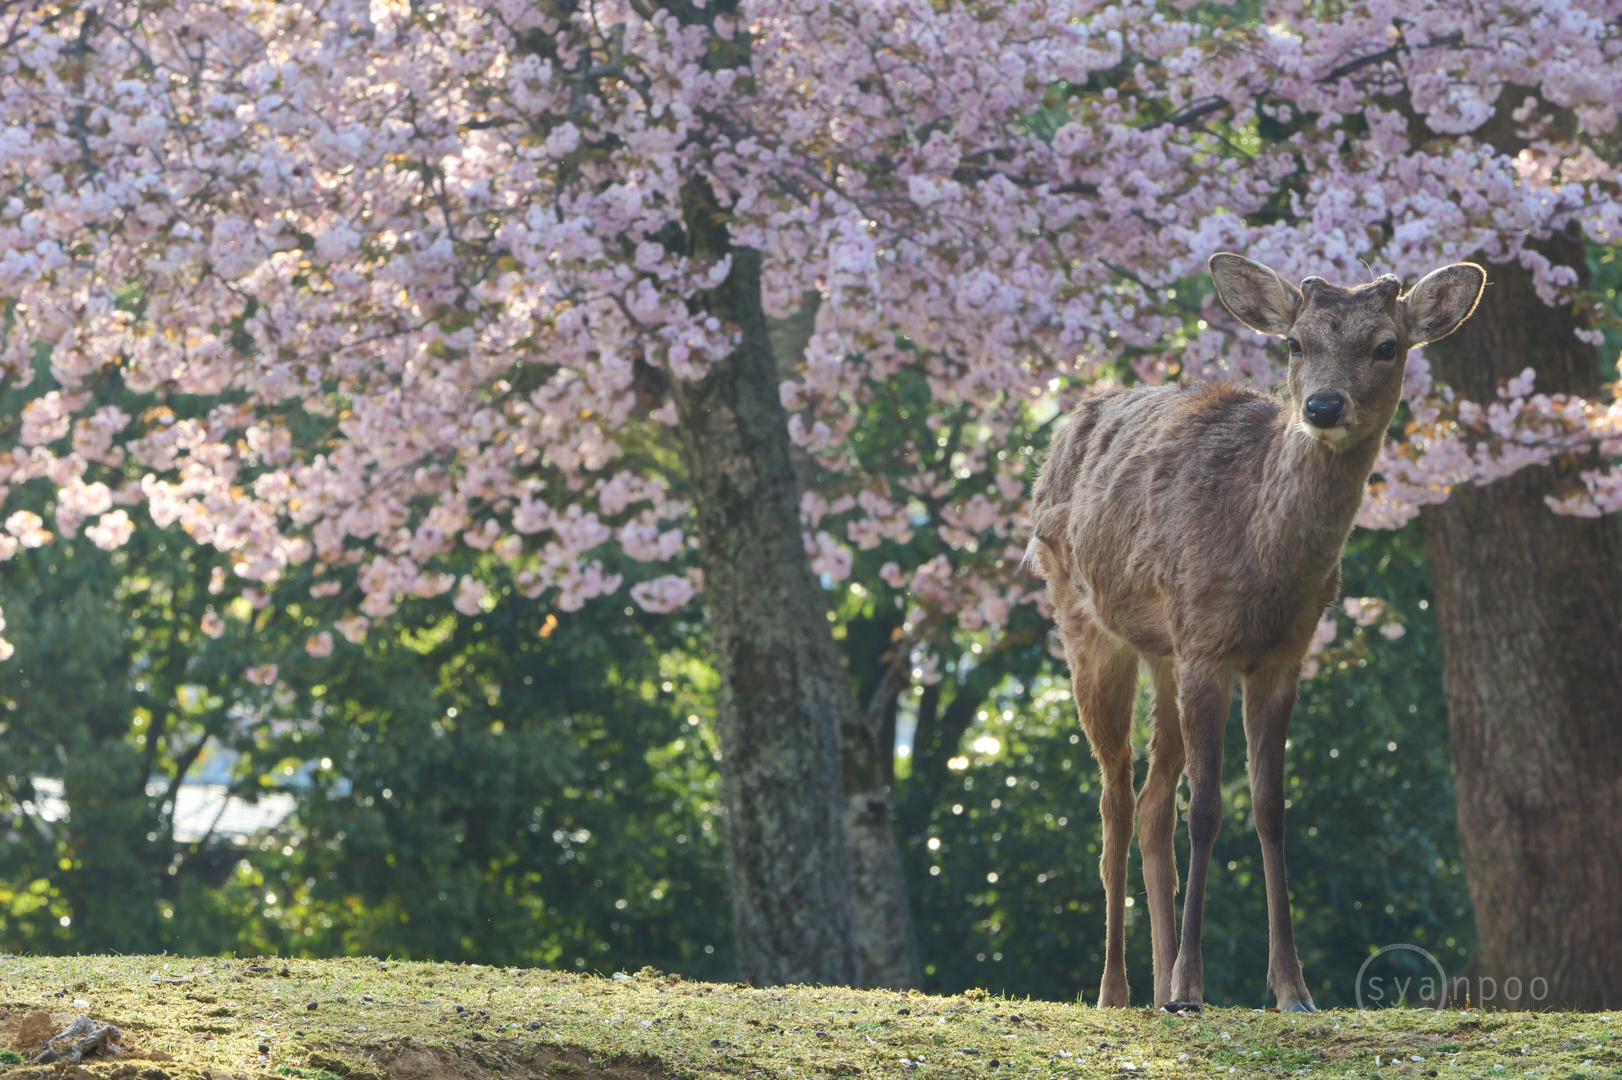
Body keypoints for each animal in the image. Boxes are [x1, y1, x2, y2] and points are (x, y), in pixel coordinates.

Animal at [1025, 252, 1485, 1011]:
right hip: (1086, 625)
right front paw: (1193, 985)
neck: (1262, 563)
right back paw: (1120, 991)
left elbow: (1270, 808)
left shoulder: (1283, 655)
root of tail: (1062, 432)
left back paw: (1157, 986)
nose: (1323, 407)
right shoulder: (1206, 646)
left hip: (1163, 653)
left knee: (1151, 803)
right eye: (1295, 343)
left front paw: (1291, 988)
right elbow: (1208, 808)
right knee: (1116, 795)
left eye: (1387, 346)